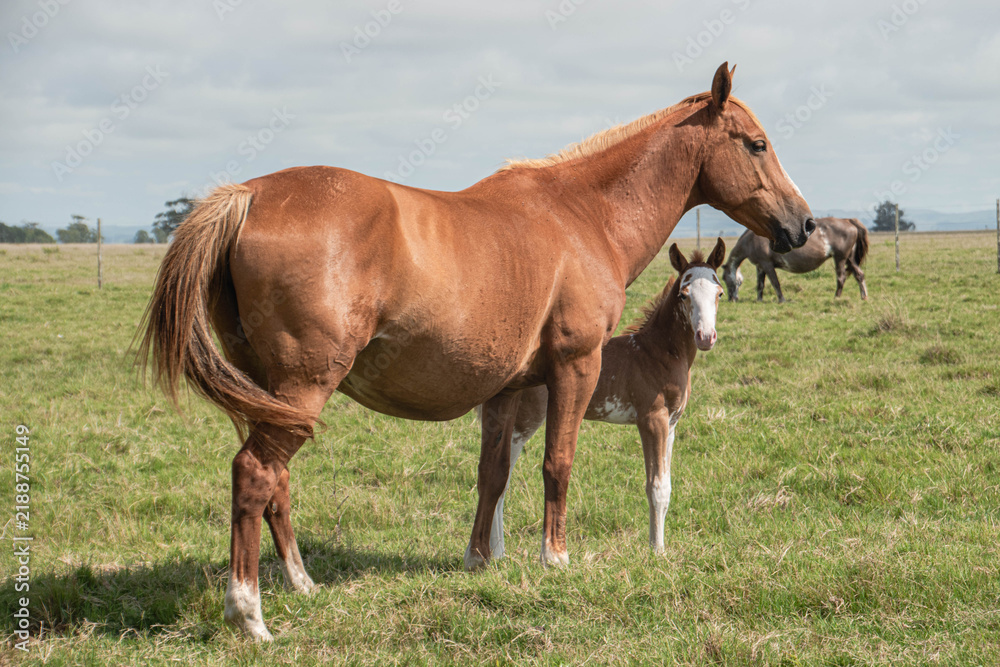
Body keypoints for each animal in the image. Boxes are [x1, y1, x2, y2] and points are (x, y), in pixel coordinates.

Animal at [468, 239, 726, 564]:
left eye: (719, 293)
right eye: (684, 294)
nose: (706, 337)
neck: (657, 352)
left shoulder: (671, 424)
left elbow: (667, 486)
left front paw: (661, 547)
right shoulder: (651, 420)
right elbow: (655, 487)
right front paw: (656, 552)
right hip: (525, 421)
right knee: (502, 477)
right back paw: (497, 552)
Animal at [722, 216, 868, 302]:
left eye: (723, 278)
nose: (731, 299)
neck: (751, 239)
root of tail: (848, 221)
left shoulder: (767, 265)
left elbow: (775, 283)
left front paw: (781, 300)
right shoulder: (760, 266)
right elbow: (760, 284)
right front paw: (759, 300)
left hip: (840, 258)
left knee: (841, 277)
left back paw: (836, 297)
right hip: (850, 258)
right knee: (859, 275)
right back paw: (864, 296)